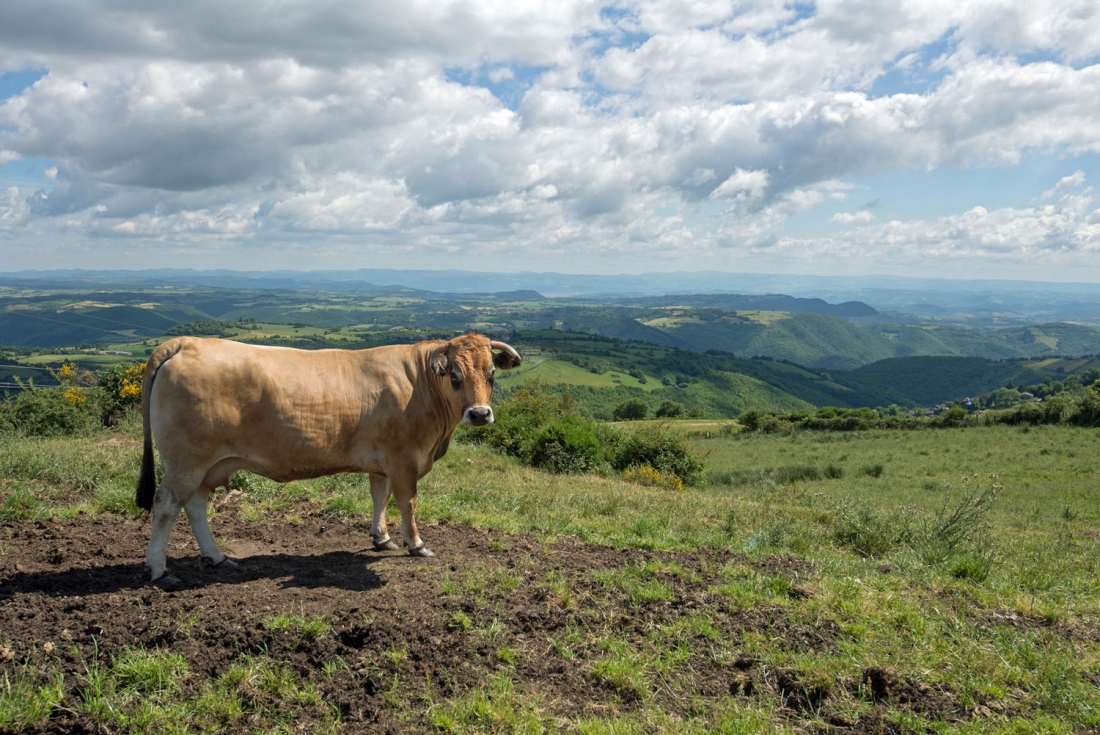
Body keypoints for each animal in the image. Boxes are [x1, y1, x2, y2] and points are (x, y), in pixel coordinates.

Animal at [135, 332, 522, 587]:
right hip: (187, 460)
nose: (479, 414)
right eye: (454, 375)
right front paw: (416, 545)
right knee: (167, 505)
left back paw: (217, 557)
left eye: (491, 374)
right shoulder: (403, 459)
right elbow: (407, 503)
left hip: (204, 465)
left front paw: (381, 538)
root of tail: (186, 342)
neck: (420, 383)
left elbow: (379, 498)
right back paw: (159, 571)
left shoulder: (383, 461)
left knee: (195, 506)